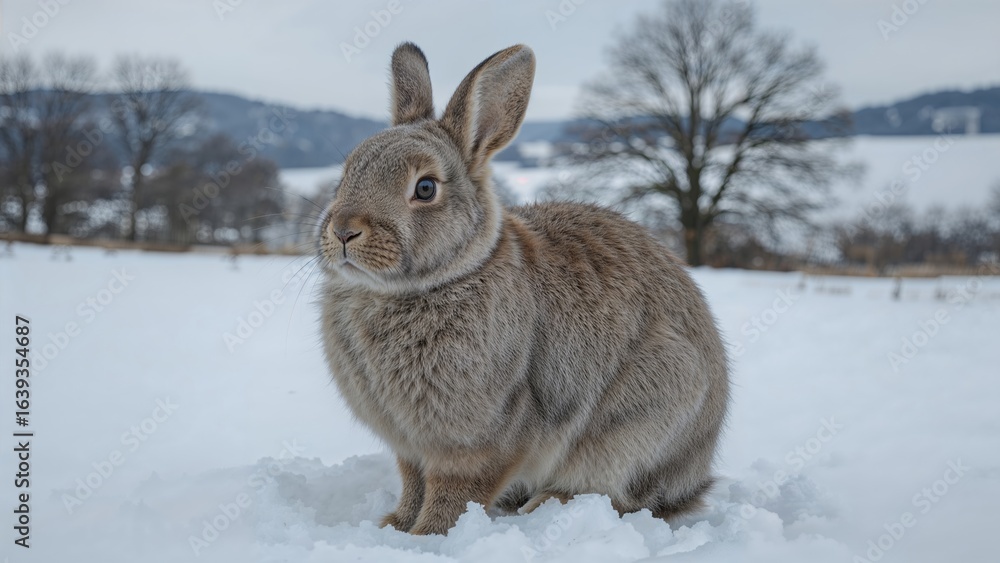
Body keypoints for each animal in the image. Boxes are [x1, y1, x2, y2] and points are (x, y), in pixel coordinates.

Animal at [317, 42, 729, 536]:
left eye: (425, 187)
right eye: (346, 173)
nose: (343, 231)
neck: (443, 279)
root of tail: (695, 472)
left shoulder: (480, 439)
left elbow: (455, 492)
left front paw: (428, 536)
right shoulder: (411, 447)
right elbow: (413, 483)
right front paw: (394, 527)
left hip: (643, 417)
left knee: (622, 495)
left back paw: (548, 504)